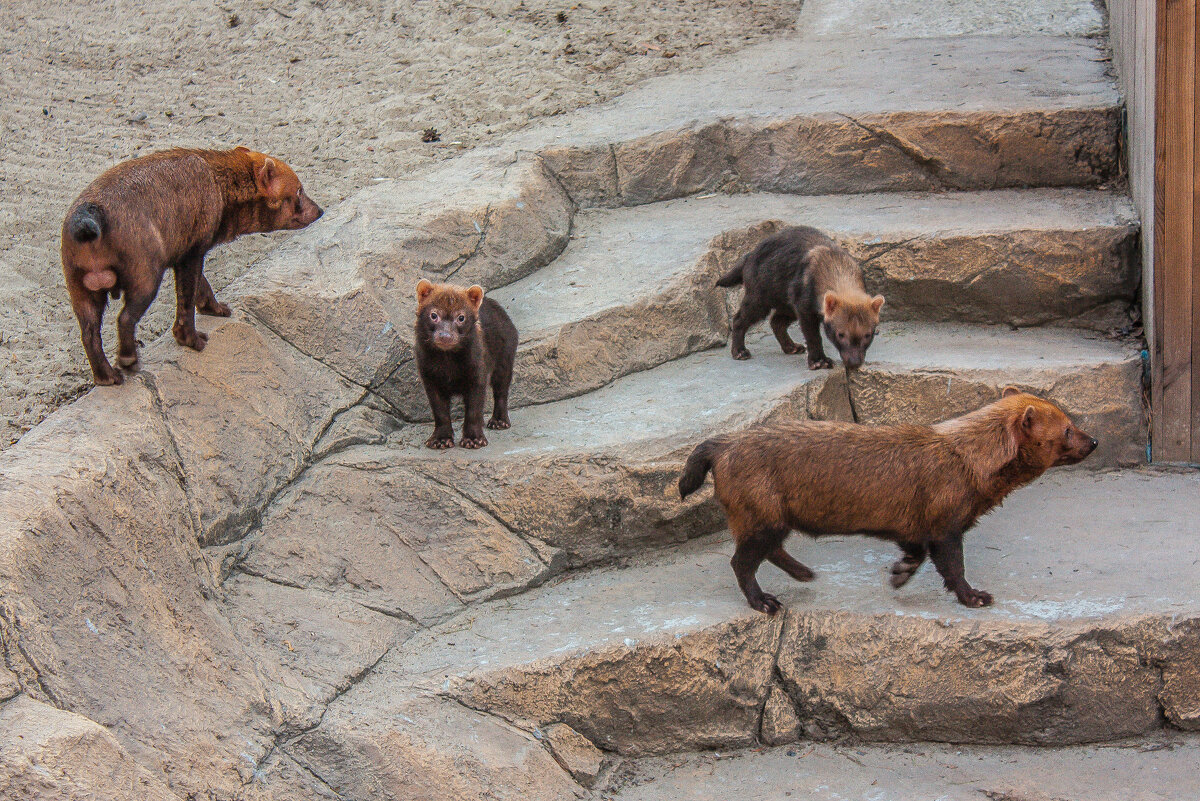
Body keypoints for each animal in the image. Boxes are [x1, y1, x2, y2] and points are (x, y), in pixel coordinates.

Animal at [59, 149, 324, 388]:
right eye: (299, 190)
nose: (321, 210)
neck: (219, 183)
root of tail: (88, 214)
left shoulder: (186, 253)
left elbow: (202, 285)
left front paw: (217, 309)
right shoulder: (193, 253)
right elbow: (187, 300)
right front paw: (193, 340)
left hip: (80, 288)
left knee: (89, 334)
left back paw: (107, 376)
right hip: (145, 277)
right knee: (124, 318)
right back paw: (128, 360)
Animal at [412, 278, 516, 448]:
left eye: (461, 317)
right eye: (433, 315)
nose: (445, 336)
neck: (448, 364)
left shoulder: (477, 375)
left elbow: (474, 409)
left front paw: (473, 439)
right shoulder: (429, 378)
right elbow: (440, 411)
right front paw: (440, 439)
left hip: (504, 361)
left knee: (501, 391)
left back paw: (499, 421)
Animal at [681, 390, 1094, 618]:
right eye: (1067, 428)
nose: (1094, 441)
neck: (965, 459)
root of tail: (722, 443)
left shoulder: (911, 523)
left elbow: (916, 550)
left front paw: (900, 572)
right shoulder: (946, 521)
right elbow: (952, 565)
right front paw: (975, 597)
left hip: (770, 518)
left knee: (770, 550)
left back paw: (804, 573)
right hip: (760, 514)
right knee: (741, 561)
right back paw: (765, 601)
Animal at [715, 225, 888, 369]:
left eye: (868, 334)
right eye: (840, 334)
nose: (854, 362)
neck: (835, 266)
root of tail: (749, 255)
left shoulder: (798, 306)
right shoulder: (804, 308)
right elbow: (813, 337)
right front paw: (819, 361)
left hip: (787, 305)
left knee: (776, 322)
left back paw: (791, 347)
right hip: (759, 300)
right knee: (739, 319)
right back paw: (740, 351)